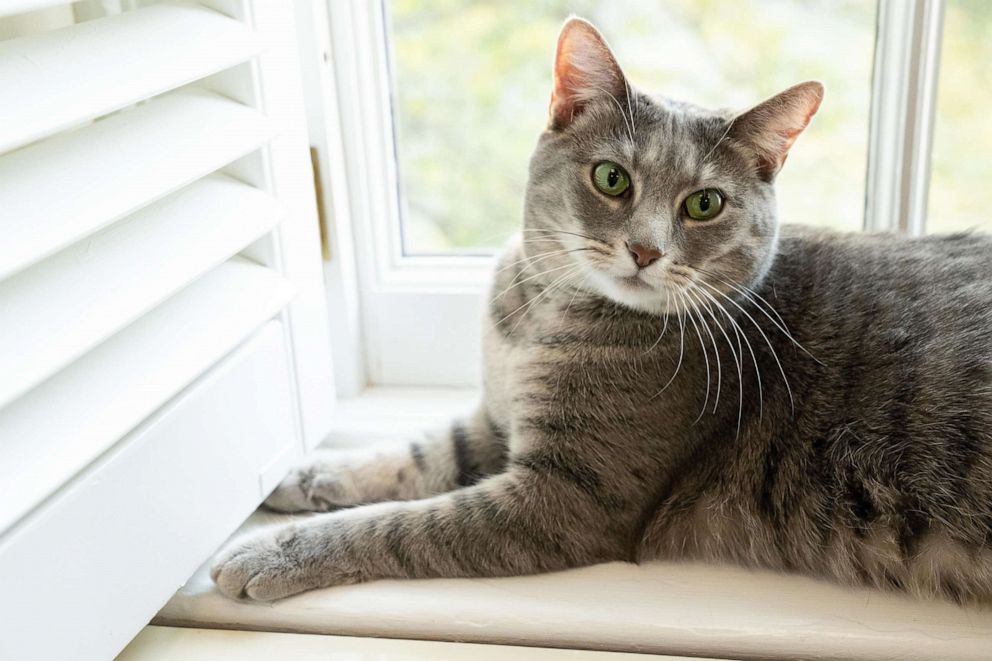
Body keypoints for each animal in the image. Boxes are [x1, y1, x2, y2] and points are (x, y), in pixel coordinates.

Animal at [211, 16, 992, 604]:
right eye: (612, 178)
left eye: (704, 204)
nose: (645, 250)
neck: (539, 315)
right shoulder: (496, 420)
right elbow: (415, 456)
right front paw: (306, 475)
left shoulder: (560, 498)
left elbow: (400, 526)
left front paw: (276, 550)